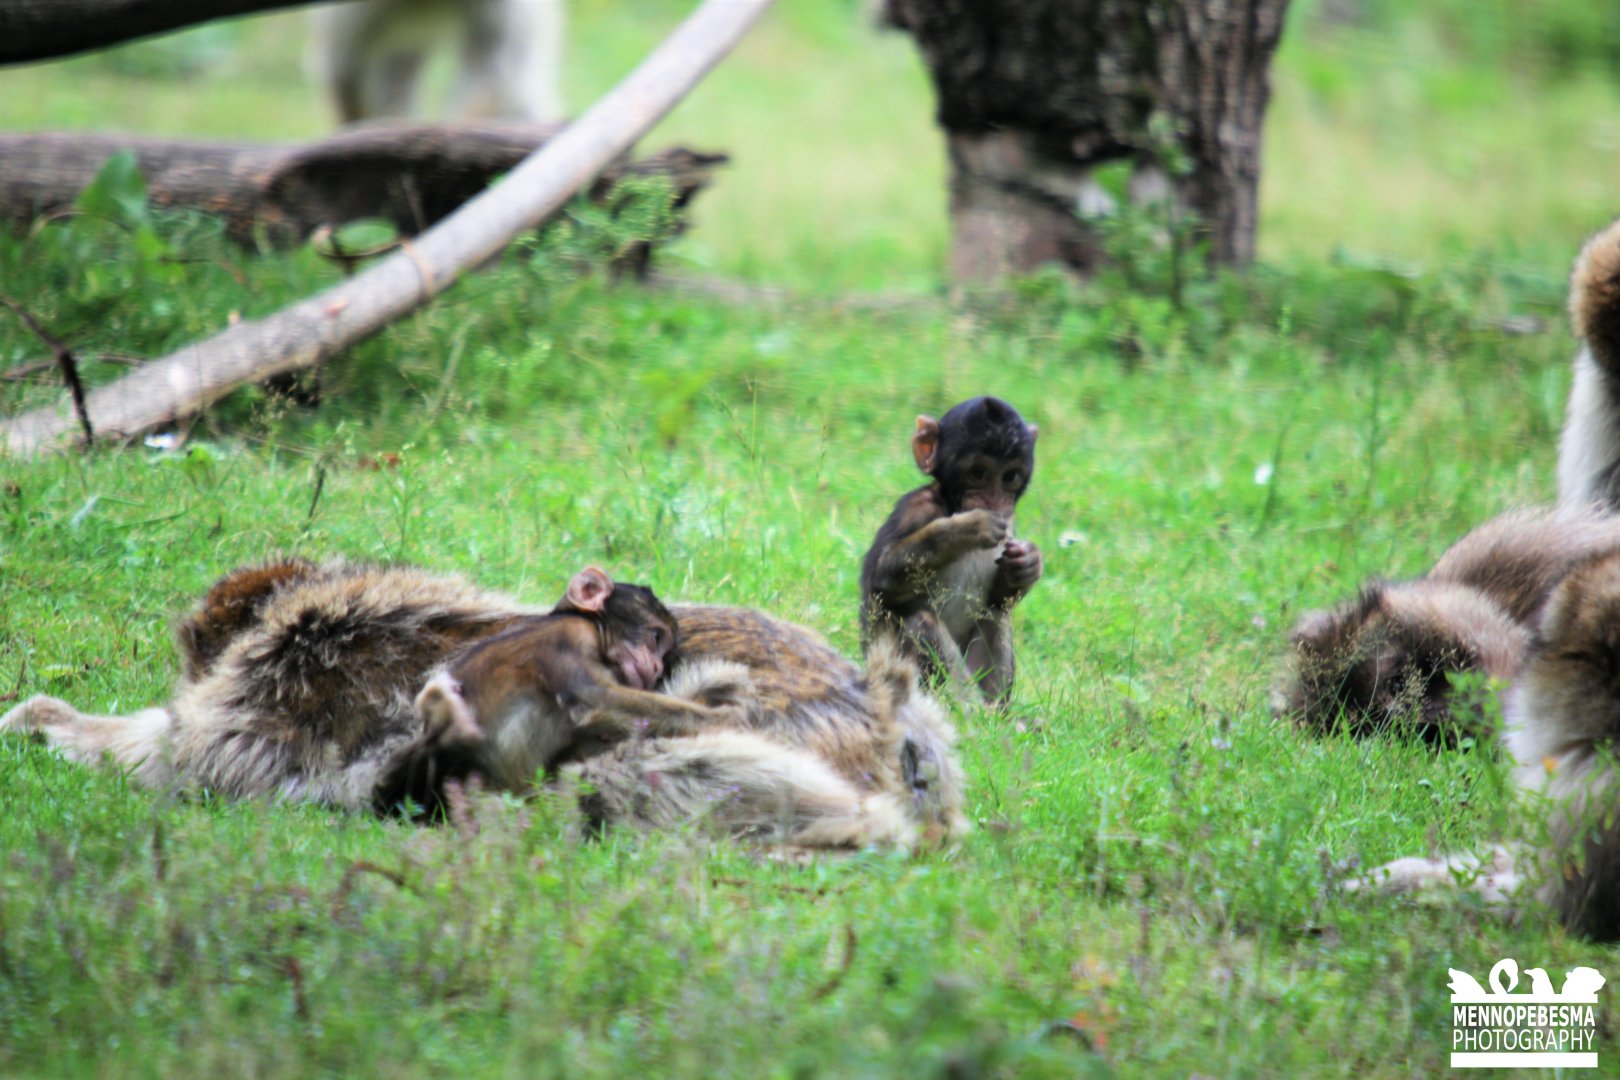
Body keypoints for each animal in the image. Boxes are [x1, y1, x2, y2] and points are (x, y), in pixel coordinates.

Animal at [860, 396, 1043, 705]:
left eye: (1010, 477)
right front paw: (968, 527)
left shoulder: (1009, 523)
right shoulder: (916, 508)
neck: (950, 503)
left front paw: (1028, 563)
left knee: (995, 615)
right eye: (978, 473)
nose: (994, 501)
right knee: (922, 622)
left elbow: (1000, 598)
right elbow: (881, 576)